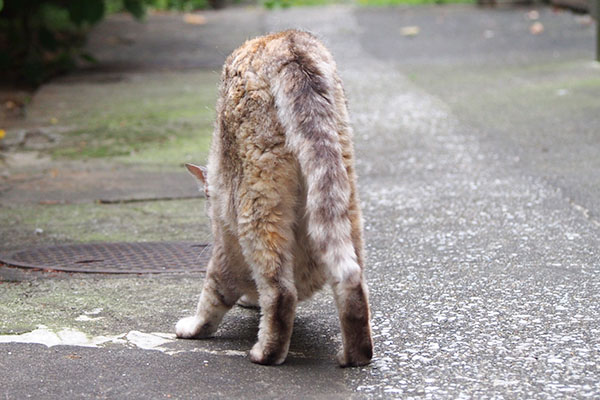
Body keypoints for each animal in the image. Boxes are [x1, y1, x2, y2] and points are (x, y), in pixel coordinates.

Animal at [175, 29, 370, 368]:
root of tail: (287, 43)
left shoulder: (225, 251)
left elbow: (213, 295)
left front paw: (194, 327)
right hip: (345, 192)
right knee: (351, 279)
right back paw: (355, 356)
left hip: (254, 203)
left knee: (281, 292)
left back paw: (265, 353)